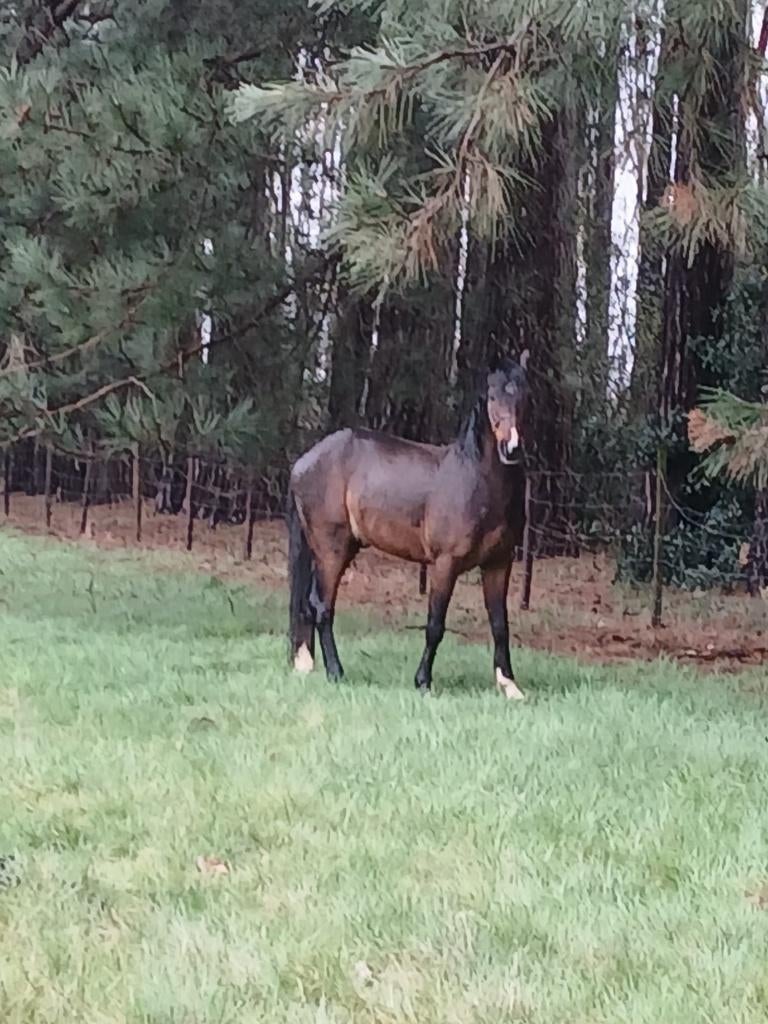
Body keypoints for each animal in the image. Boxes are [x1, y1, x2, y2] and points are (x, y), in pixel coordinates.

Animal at [286, 351, 530, 698]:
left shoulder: (499, 563)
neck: (476, 479)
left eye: (525, 396)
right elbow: (435, 625)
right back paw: (336, 672)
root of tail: (304, 462)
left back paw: (308, 664)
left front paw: (509, 685)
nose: (512, 448)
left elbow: (500, 625)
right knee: (321, 607)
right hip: (331, 549)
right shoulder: (444, 564)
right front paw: (423, 681)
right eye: (493, 396)